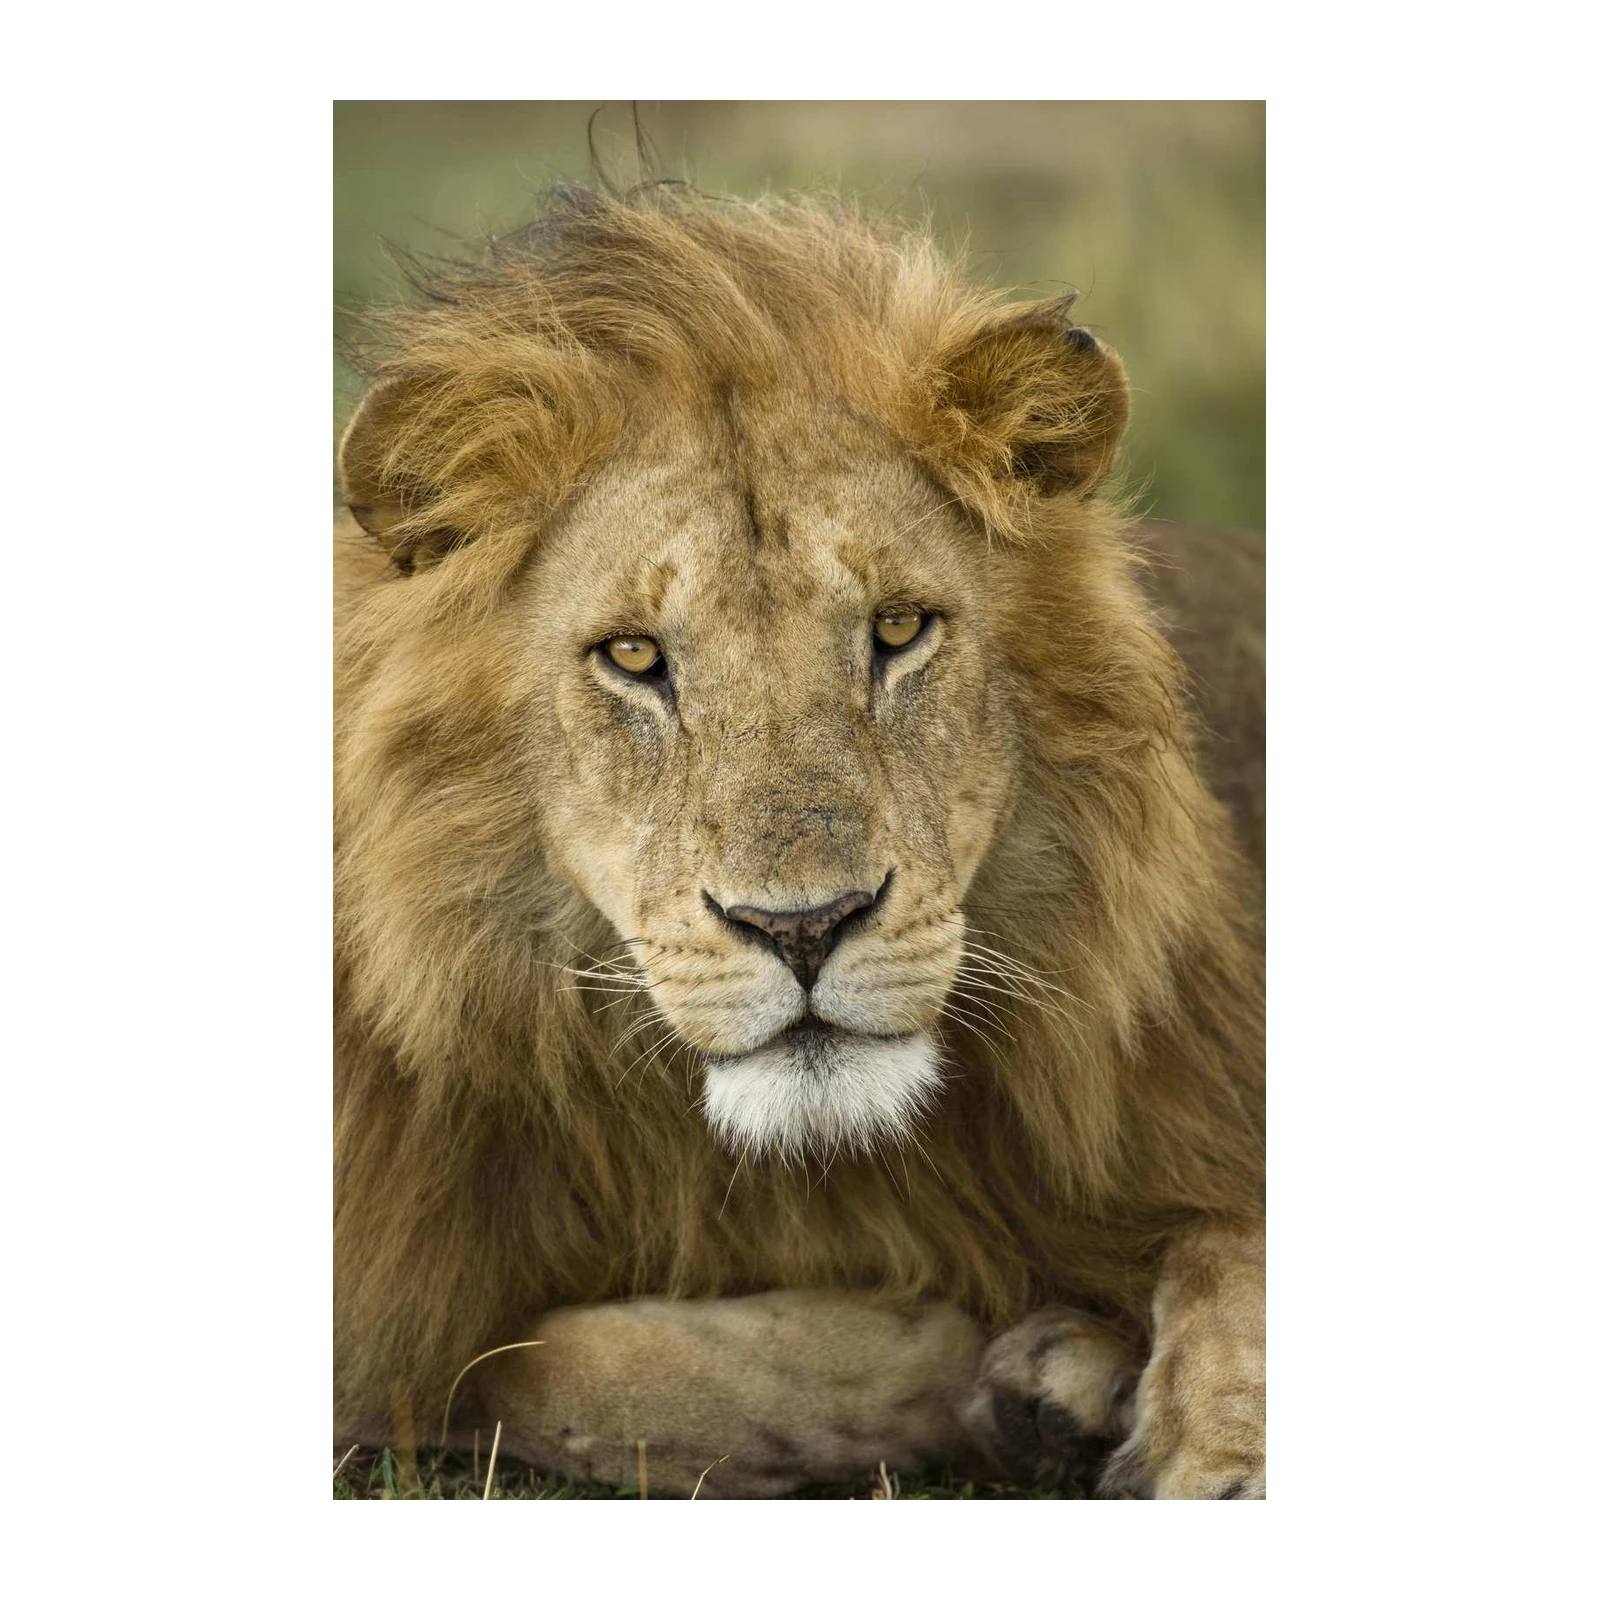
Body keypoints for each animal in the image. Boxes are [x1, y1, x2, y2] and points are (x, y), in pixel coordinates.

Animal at [330, 181, 1267, 1502]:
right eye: (633, 655)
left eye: (900, 629)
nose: (804, 927)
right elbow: (553, 1369)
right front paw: (968, 1356)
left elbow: (1231, 1240)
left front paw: (1199, 1429)